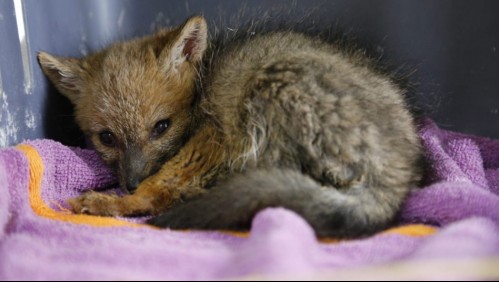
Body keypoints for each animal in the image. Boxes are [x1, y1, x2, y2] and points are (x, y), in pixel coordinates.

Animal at [38, 14, 422, 236]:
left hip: (266, 91)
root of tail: (397, 174)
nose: (129, 183)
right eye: (106, 138)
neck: (202, 85)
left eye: (161, 127)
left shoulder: (214, 138)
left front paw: (114, 202)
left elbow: (159, 190)